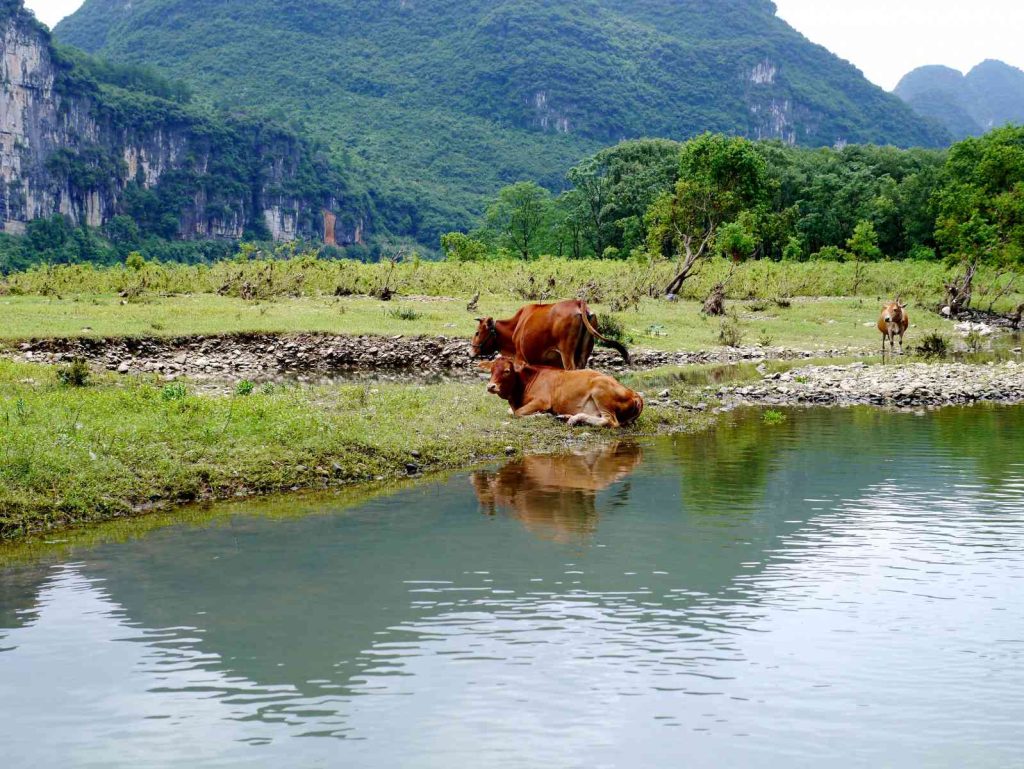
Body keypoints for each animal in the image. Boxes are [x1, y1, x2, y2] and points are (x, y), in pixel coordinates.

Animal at [468, 298, 626, 370]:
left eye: (477, 332)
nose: (470, 351)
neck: (515, 326)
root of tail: (578, 302)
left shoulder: (520, 358)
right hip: (583, 355)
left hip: (567, 353)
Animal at [483, 358, 643, 430]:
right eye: (491, 370)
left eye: (507, 371)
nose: (490, 386)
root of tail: (634, 394)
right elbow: (511, 412)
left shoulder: (542, 401)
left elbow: (518, 413)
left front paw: (543, 415)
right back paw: (565, 416)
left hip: (601, 391)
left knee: (610, 421)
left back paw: (573, 419)